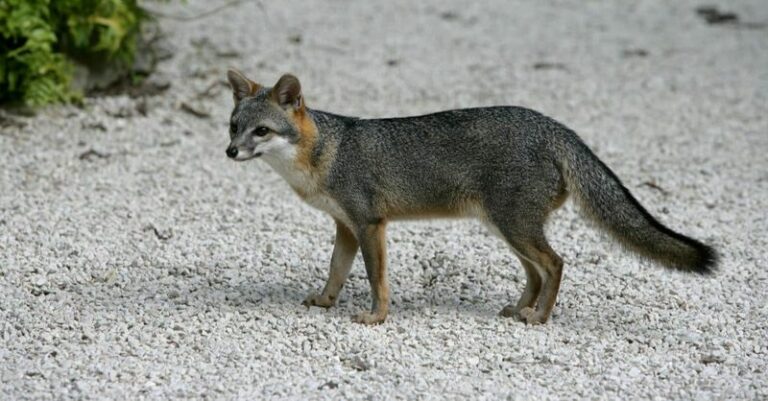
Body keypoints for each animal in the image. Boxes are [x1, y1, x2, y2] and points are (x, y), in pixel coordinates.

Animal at [224, 69, 717, 325]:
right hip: (507, 229)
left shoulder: (369, 224)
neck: (326, 152)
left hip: (515, 227)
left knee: (556, 263)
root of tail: (553, 126)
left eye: (261, 131)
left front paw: (376, 317)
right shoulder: (346, 227)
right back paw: (521, 307)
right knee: (537, 271)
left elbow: (376, 279)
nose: (230, 152)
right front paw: (326, 302)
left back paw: (539, 317)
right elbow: (336, 272)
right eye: (233, 126)